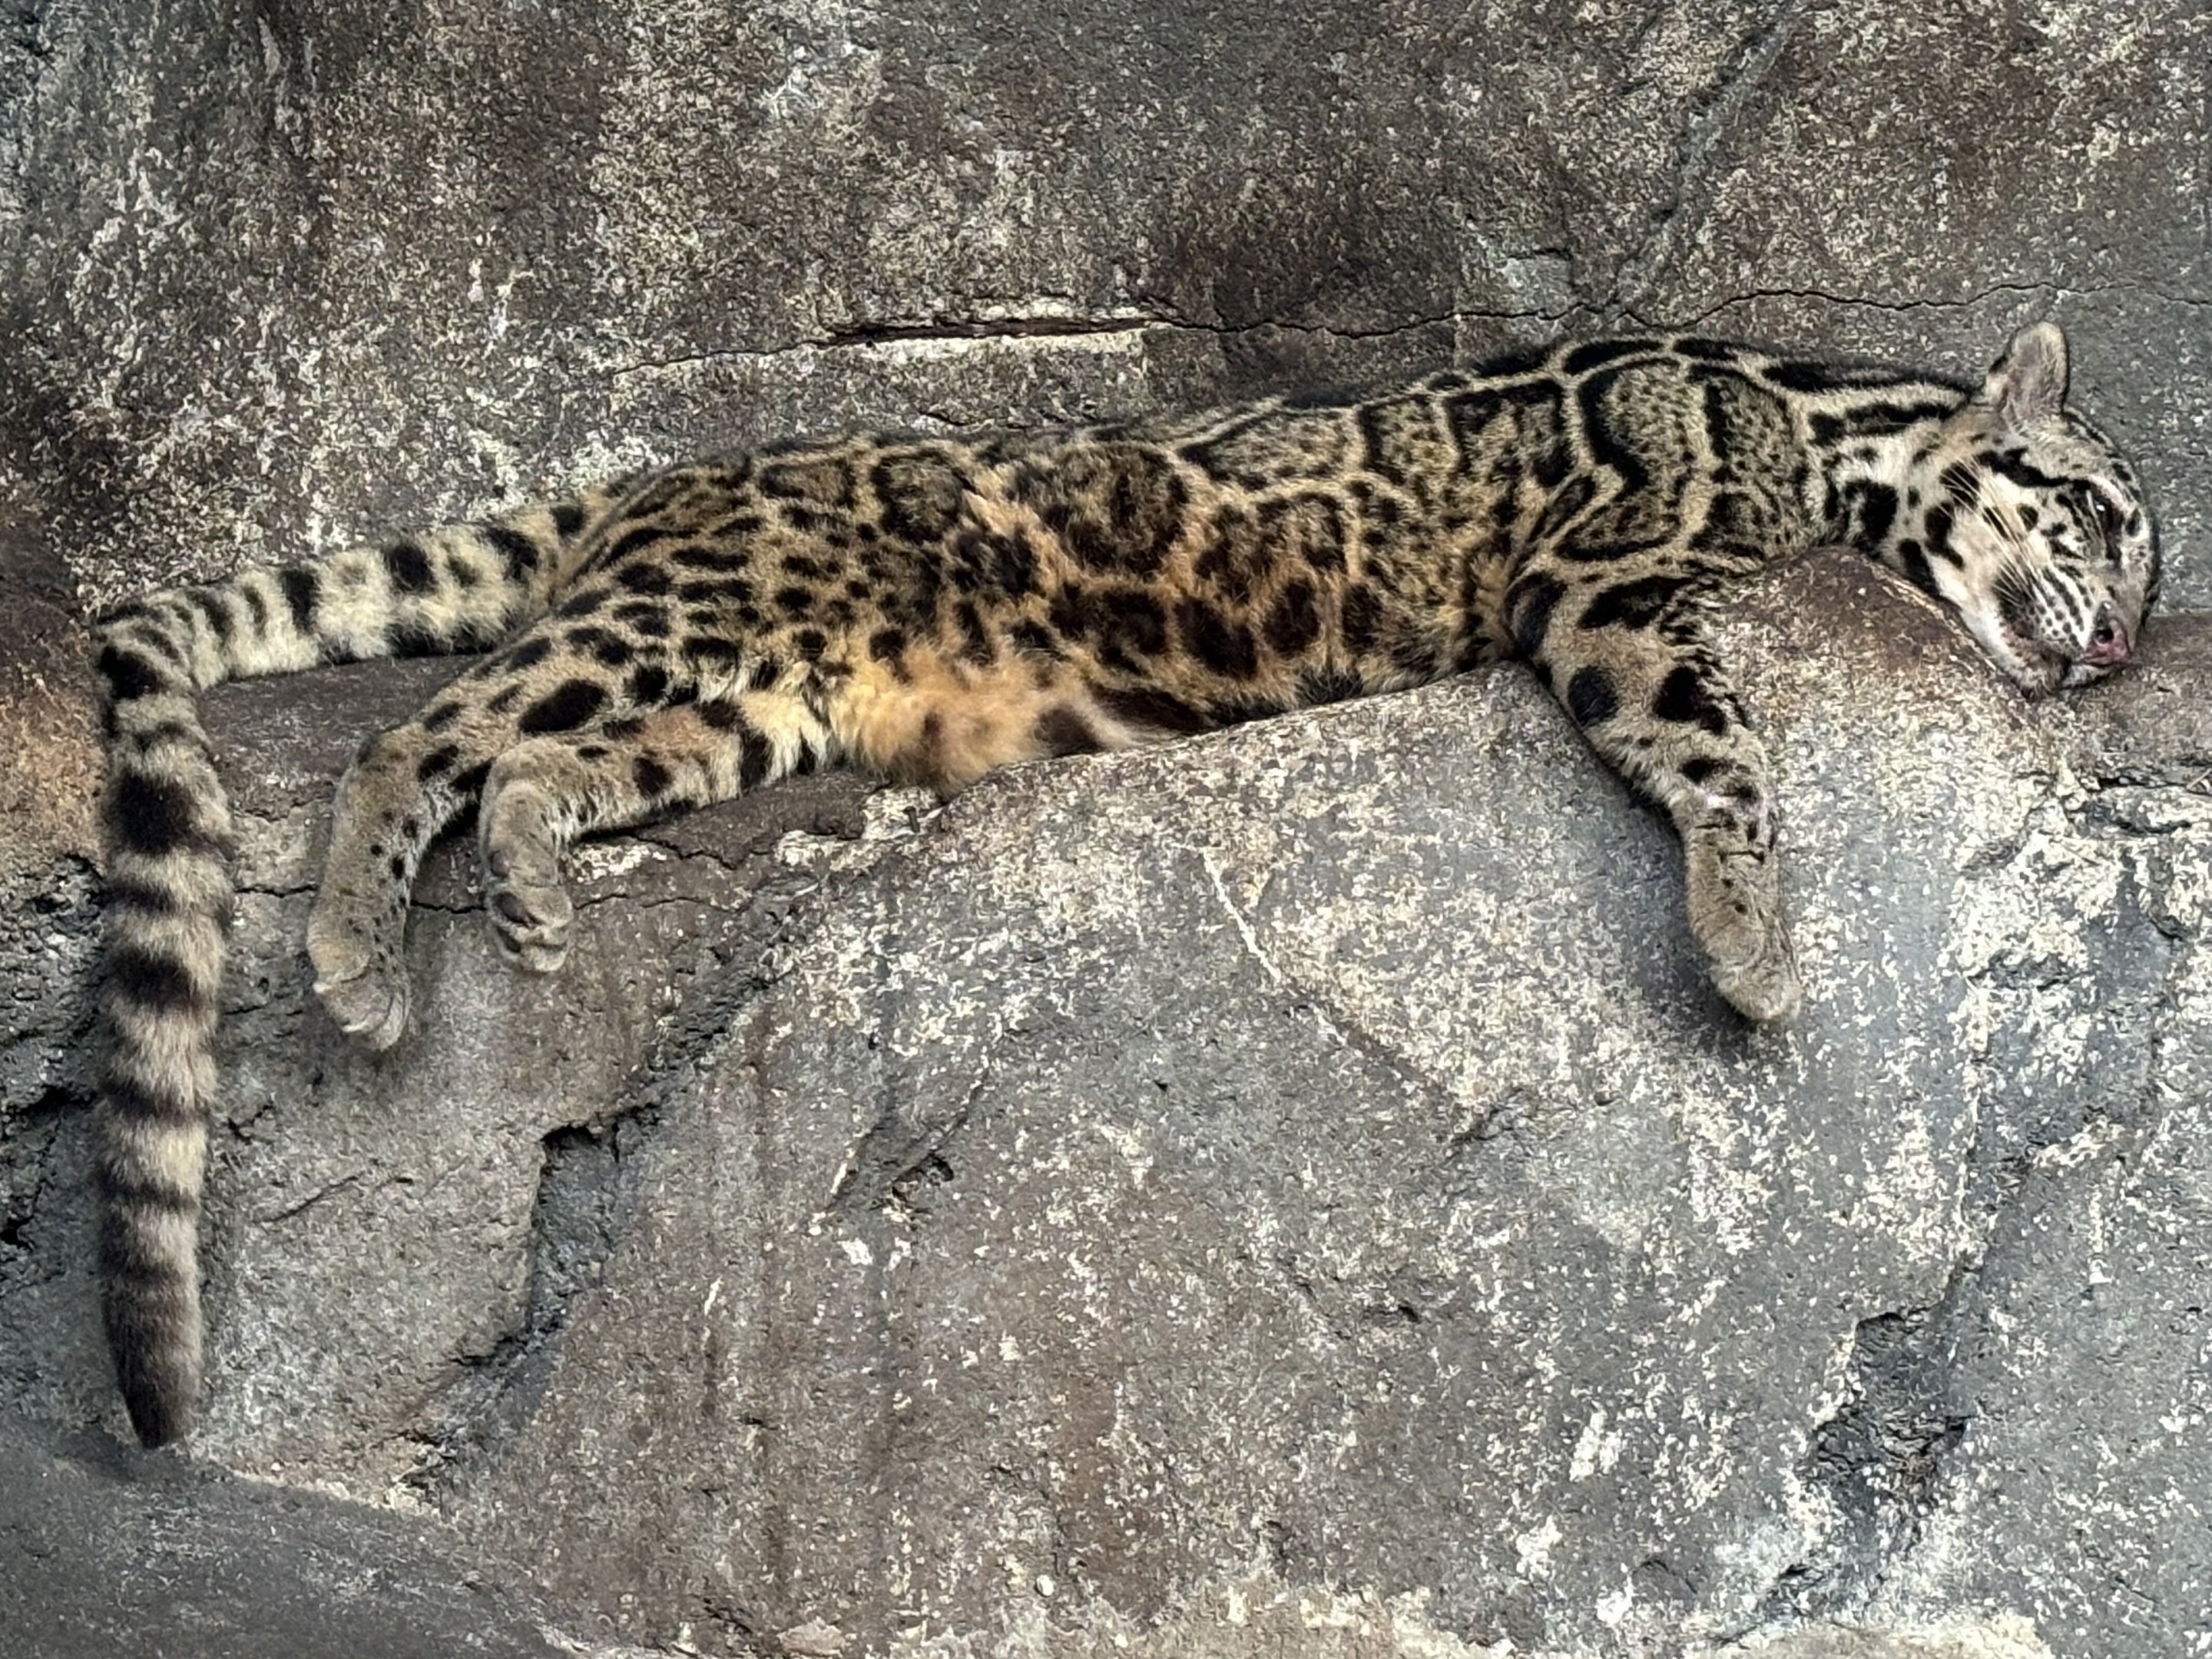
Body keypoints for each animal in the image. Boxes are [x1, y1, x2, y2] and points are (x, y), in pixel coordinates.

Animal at [87, 320, 2159, 1448]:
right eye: (2102, 516)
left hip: (745, 704)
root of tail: (653, 486)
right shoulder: (1614, 588)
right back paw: (359, 960)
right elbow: (1716, 738)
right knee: (417, 731)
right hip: (662, 627)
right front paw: (1753, 948)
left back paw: (524, 887)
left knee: (526, 763)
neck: (1807, 435)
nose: (2132, 646)